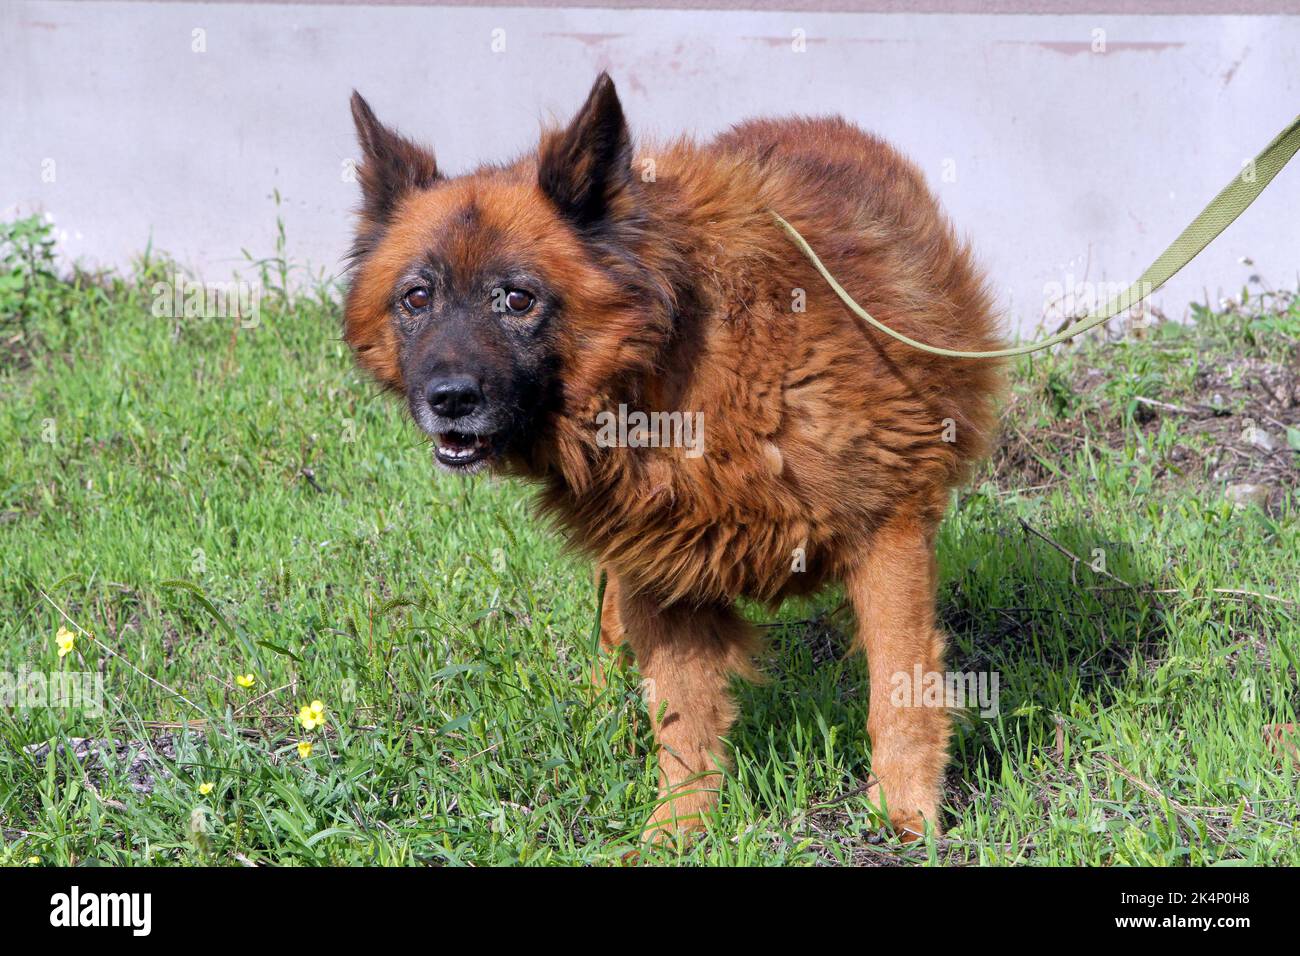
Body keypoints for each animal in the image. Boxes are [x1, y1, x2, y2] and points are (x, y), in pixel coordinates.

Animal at [340, 72, 998, 837]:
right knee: (609, 629)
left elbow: (901, 689)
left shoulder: (888, 534)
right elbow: (682, 718)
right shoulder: (662, 566)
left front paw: (905, 814)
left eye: (518, 299)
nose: (447, 399)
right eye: (417, 297)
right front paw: (678, 830)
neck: (669, 366)